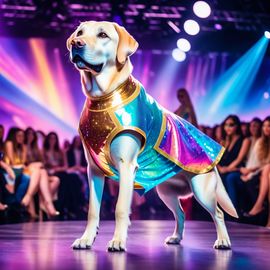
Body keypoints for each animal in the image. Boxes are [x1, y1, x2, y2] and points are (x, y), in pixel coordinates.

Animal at [67, 20, 238, 251]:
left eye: (103, 35)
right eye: (80, 33)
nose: (76, 43)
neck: (104, 97)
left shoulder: (126, 166)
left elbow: (120, 208)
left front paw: (118, 241)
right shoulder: (93, 170)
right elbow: (93, 211)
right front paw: (86, 239)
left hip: (202, 189)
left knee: (218, 213)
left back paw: (223, 241)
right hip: (166, 192)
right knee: (181, 213)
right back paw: (176, 238)